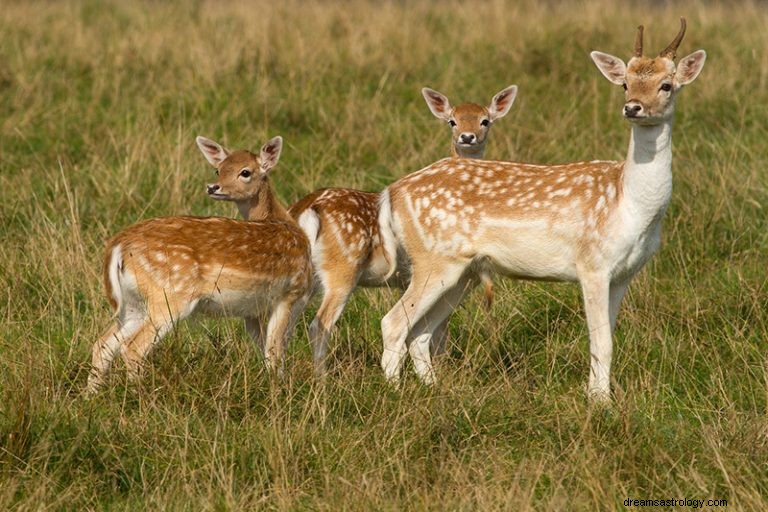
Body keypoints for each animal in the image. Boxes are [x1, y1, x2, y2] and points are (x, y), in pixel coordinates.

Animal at [84, 134, 312, 394]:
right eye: (218, 169)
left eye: (245, 172)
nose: (213, 187)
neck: (283, 221)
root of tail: (118, 247)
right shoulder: (290, 293)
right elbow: (275, 353)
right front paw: (278, 390)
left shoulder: (251, 310)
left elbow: (265, 350)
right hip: (170, 295)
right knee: (133, 347)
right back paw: (139, 395)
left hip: (133, 303)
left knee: (103, 344)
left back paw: (91, 396)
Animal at [284, 85, 520, 372]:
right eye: (452, 120)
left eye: (485, 120)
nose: (467, 137)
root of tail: (306, 208)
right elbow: (436, 332)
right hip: (342, 268)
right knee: (319, 325)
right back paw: (322, 376)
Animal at [376, 20, 704, 402]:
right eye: (625, 83)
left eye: (667, 85)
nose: (633, 107)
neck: (629, 204)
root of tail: (391, 193)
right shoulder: (592, 263)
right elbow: (601, 341)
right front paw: (600, 402)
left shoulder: (624, 273)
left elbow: (607, 338)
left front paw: (596, 394)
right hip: (434, 259)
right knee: (394, 322)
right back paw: (395, 392)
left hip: (463, 270)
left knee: (421, 332)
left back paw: (436, 389)